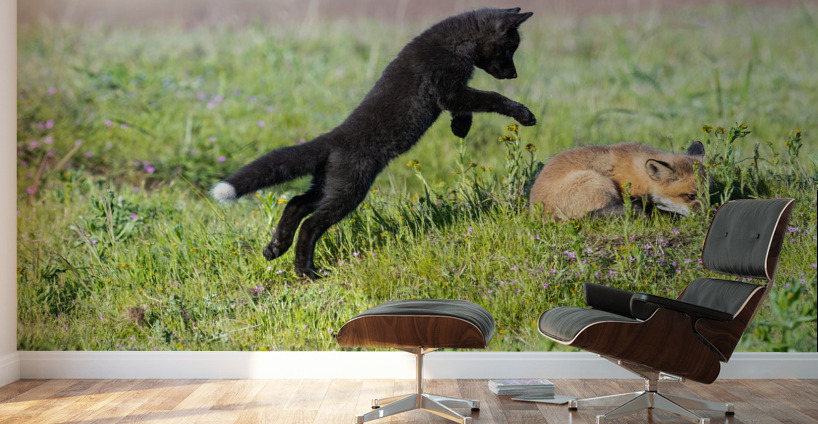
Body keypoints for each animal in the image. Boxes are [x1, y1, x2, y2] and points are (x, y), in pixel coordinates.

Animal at [212, 8, 536, 279]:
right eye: (511, 48)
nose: (515, 74)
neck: (454, 43)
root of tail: (332, 139)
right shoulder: (449, 90)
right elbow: (493, 99)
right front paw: (524, 115)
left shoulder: (454, 93)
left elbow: (467, 110)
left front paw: (460, 128)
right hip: (349, 192)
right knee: (310, 224)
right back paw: (306, 272)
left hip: (329, 186)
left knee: (295, 203)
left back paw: (275, 248)